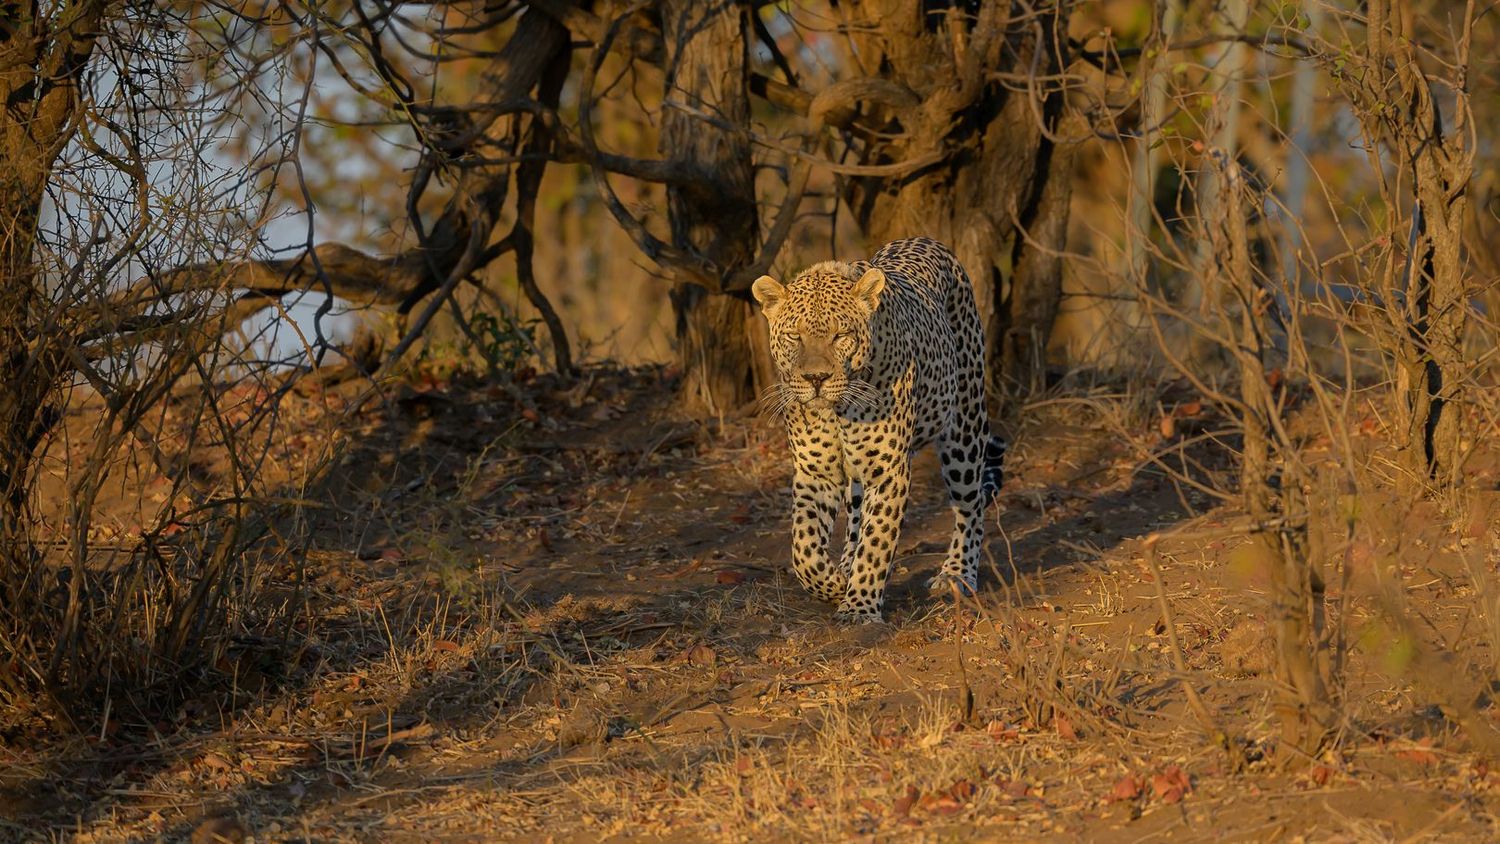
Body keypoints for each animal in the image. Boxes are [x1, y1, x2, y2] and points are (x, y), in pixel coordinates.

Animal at [751, 236, 1006, 624]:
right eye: (794, 336)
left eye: (840, 335)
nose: (815, 379)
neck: (837, 413)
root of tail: (925, 240)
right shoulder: (816, 472)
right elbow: (804, 548)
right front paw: (834, 584)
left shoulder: (888, 471)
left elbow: (877, 542)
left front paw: (859, 607)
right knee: (855, 520)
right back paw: (845, 565)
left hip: (965, 429)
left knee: (971, 504)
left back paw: (957, 574)